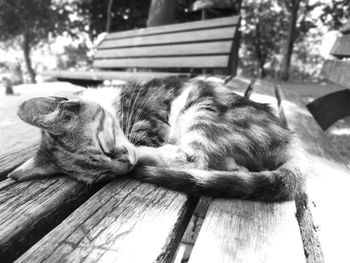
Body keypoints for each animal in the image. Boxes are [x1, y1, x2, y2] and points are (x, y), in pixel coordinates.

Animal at [8, 77, 306, 201]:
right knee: (230, 167)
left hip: (203, 107)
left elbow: (144, 140)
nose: (125, 165)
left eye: (103, 144)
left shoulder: (148, 121)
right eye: (103, 176)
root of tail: (290, 139)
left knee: (196, 160)